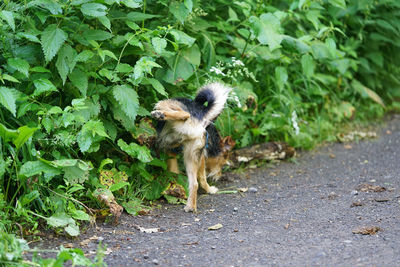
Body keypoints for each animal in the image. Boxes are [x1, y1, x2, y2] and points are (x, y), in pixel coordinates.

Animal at [152, 82, 234, 213]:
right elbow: (200, 177)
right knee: (194, 183)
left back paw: (160, 114)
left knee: (184, 114)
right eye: (223, 164)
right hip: (190, 155)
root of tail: (202, 116)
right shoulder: (197, 157)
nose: (219, 176)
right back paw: (190, 206)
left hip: (167, 104)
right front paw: (209, 189)